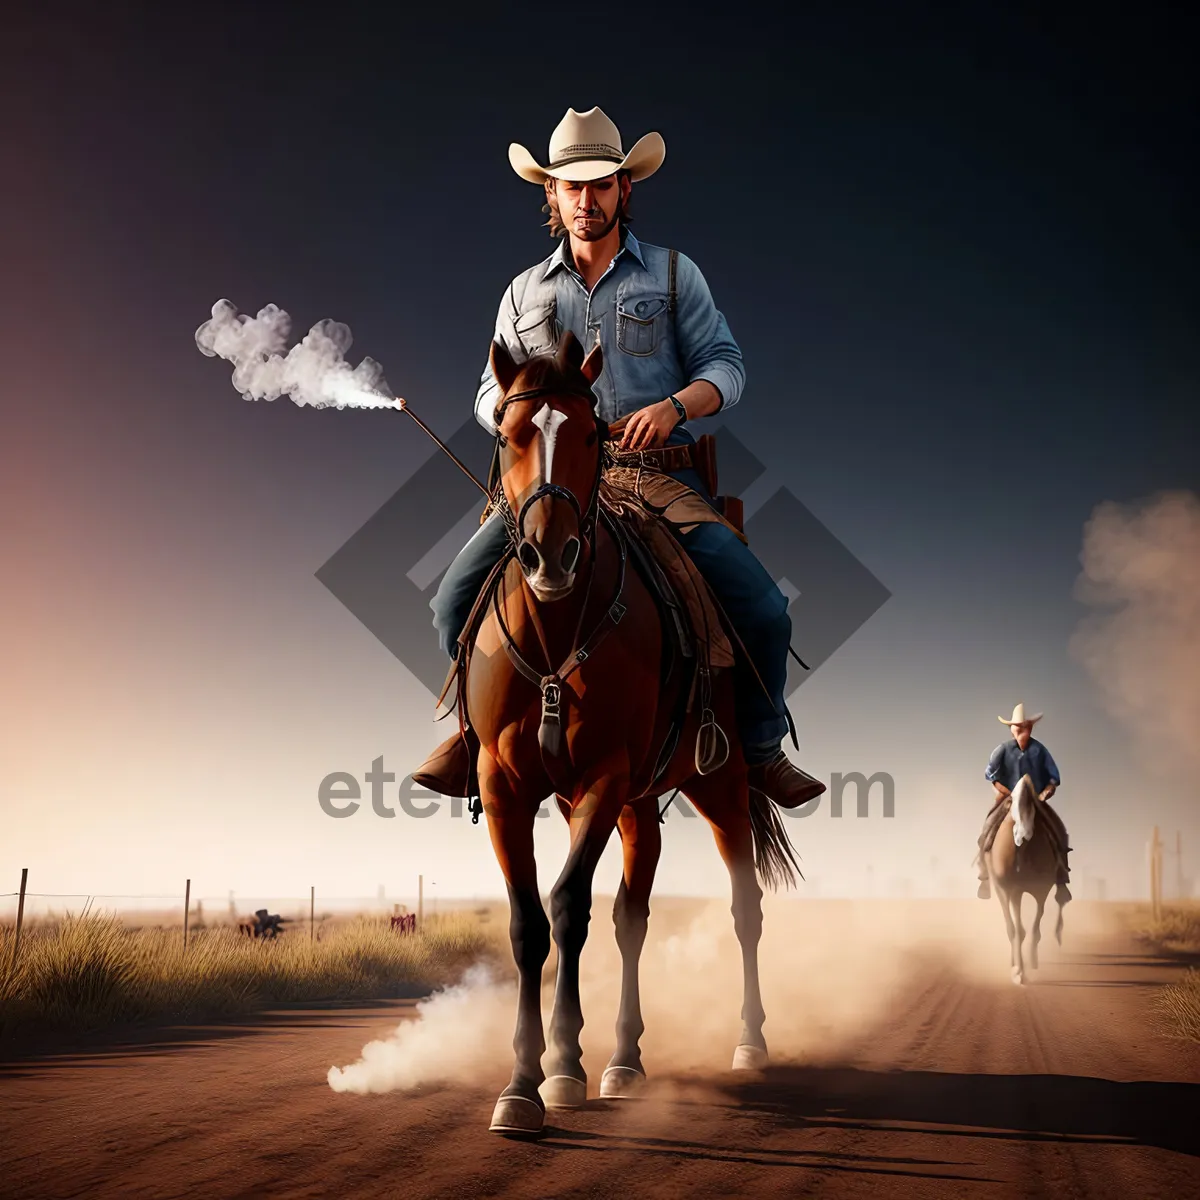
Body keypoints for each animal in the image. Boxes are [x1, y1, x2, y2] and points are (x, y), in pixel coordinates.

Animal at [463, 331, 801, 1132]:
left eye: (591, 434)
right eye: (509, 434)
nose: (549, 556)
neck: (557, 635)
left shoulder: (604, 776)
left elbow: (566, 908)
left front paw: (557, 1071)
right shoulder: (506, 785)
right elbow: (528, 922)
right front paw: (525, 1082)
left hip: (721, 786)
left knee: (744, 908)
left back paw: (749, 1043)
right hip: (638, 806)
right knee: (633, 918)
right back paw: (624, 1060)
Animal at [988, 777, 1065, 984]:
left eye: (1033, 809)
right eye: (1012, 804)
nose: (1021, 836)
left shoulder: (1041, 891)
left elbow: (1034, 929)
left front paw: (1030, 964)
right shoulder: (1006, 889)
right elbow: (1014, 930)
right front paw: (1018, 972)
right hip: (1007, 890)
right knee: (1014, 928)